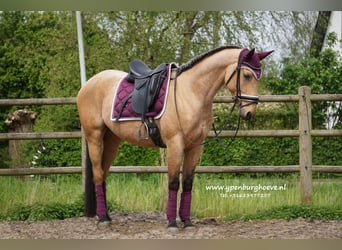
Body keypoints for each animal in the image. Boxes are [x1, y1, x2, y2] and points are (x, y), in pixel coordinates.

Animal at [77, 45, 272, 230]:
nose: (249, 113)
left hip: (112, 140)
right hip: (94, 137)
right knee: (97, 174)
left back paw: (106, 216)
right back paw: (103, 219)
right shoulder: (175, 144)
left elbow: (187, 183)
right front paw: (172, 223)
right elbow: (173, 183)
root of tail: (88, 84)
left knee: (103, 174)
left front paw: (187, 222)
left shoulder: (195, 147)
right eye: (247, 75)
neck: (191, 92)